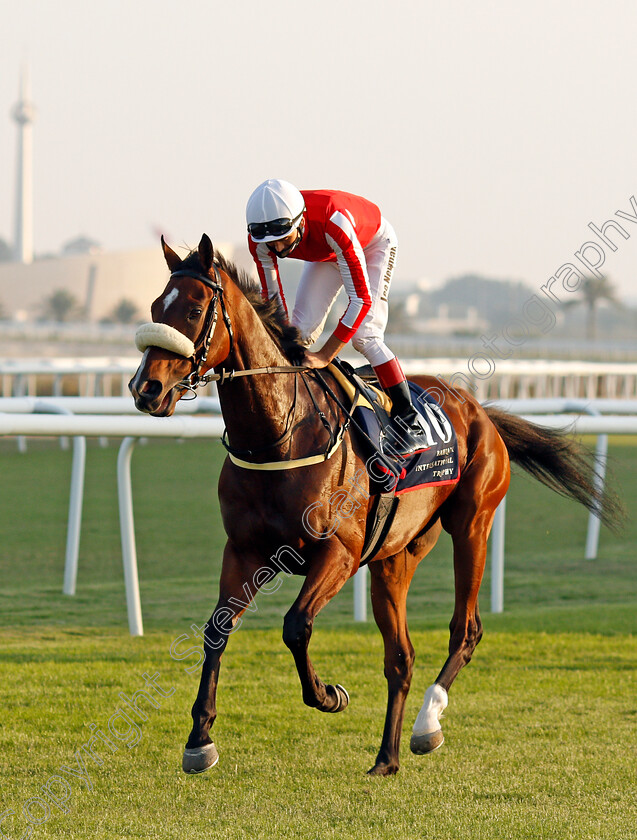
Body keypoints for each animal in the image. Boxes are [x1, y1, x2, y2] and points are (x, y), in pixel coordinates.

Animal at [130, 233, 620, 776]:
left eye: (195, 309)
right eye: (154, 307)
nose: (145, 388)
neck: (280, 436)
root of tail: (479, 410)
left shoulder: (338, 552)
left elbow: (296, 626)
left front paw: (328, 695)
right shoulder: (243, 550)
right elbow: (217, 630)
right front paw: (199, 739)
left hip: (472, 525)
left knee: (464, 630)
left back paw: (428, 723)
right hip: (394, 557)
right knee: (400, 656)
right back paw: (386, 757)